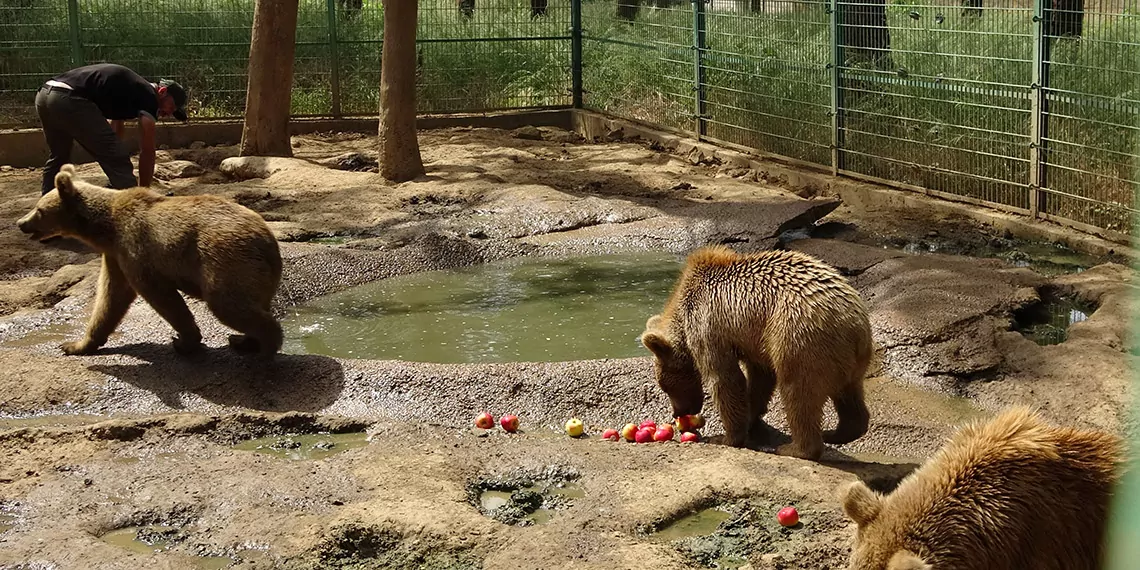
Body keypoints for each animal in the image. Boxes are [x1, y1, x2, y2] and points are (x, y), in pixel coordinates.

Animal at [16, 164, 282, 355]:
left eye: (39, 209)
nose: (21, 223)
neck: (106, 229)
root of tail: (268, 242)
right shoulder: (115, 255)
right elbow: (110, 298)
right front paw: (76, 345)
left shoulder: (136, 248)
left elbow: (158, 294)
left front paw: (185, 341)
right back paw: (244, 341)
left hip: (225, 260)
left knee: (227, 303)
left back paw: (264, 347)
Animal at [642, 245, 870, 458]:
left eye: (665, 386)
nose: (678, 412)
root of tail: (853, 325)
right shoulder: (755, 339)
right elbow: (760, 378)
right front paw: (751, 416)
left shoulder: (708, 325)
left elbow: (725, 379)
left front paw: (725, 437)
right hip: (845, 357)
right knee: (849, 394)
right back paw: (838, 432)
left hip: (798, 337)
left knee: (798, 392)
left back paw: (794, 448)